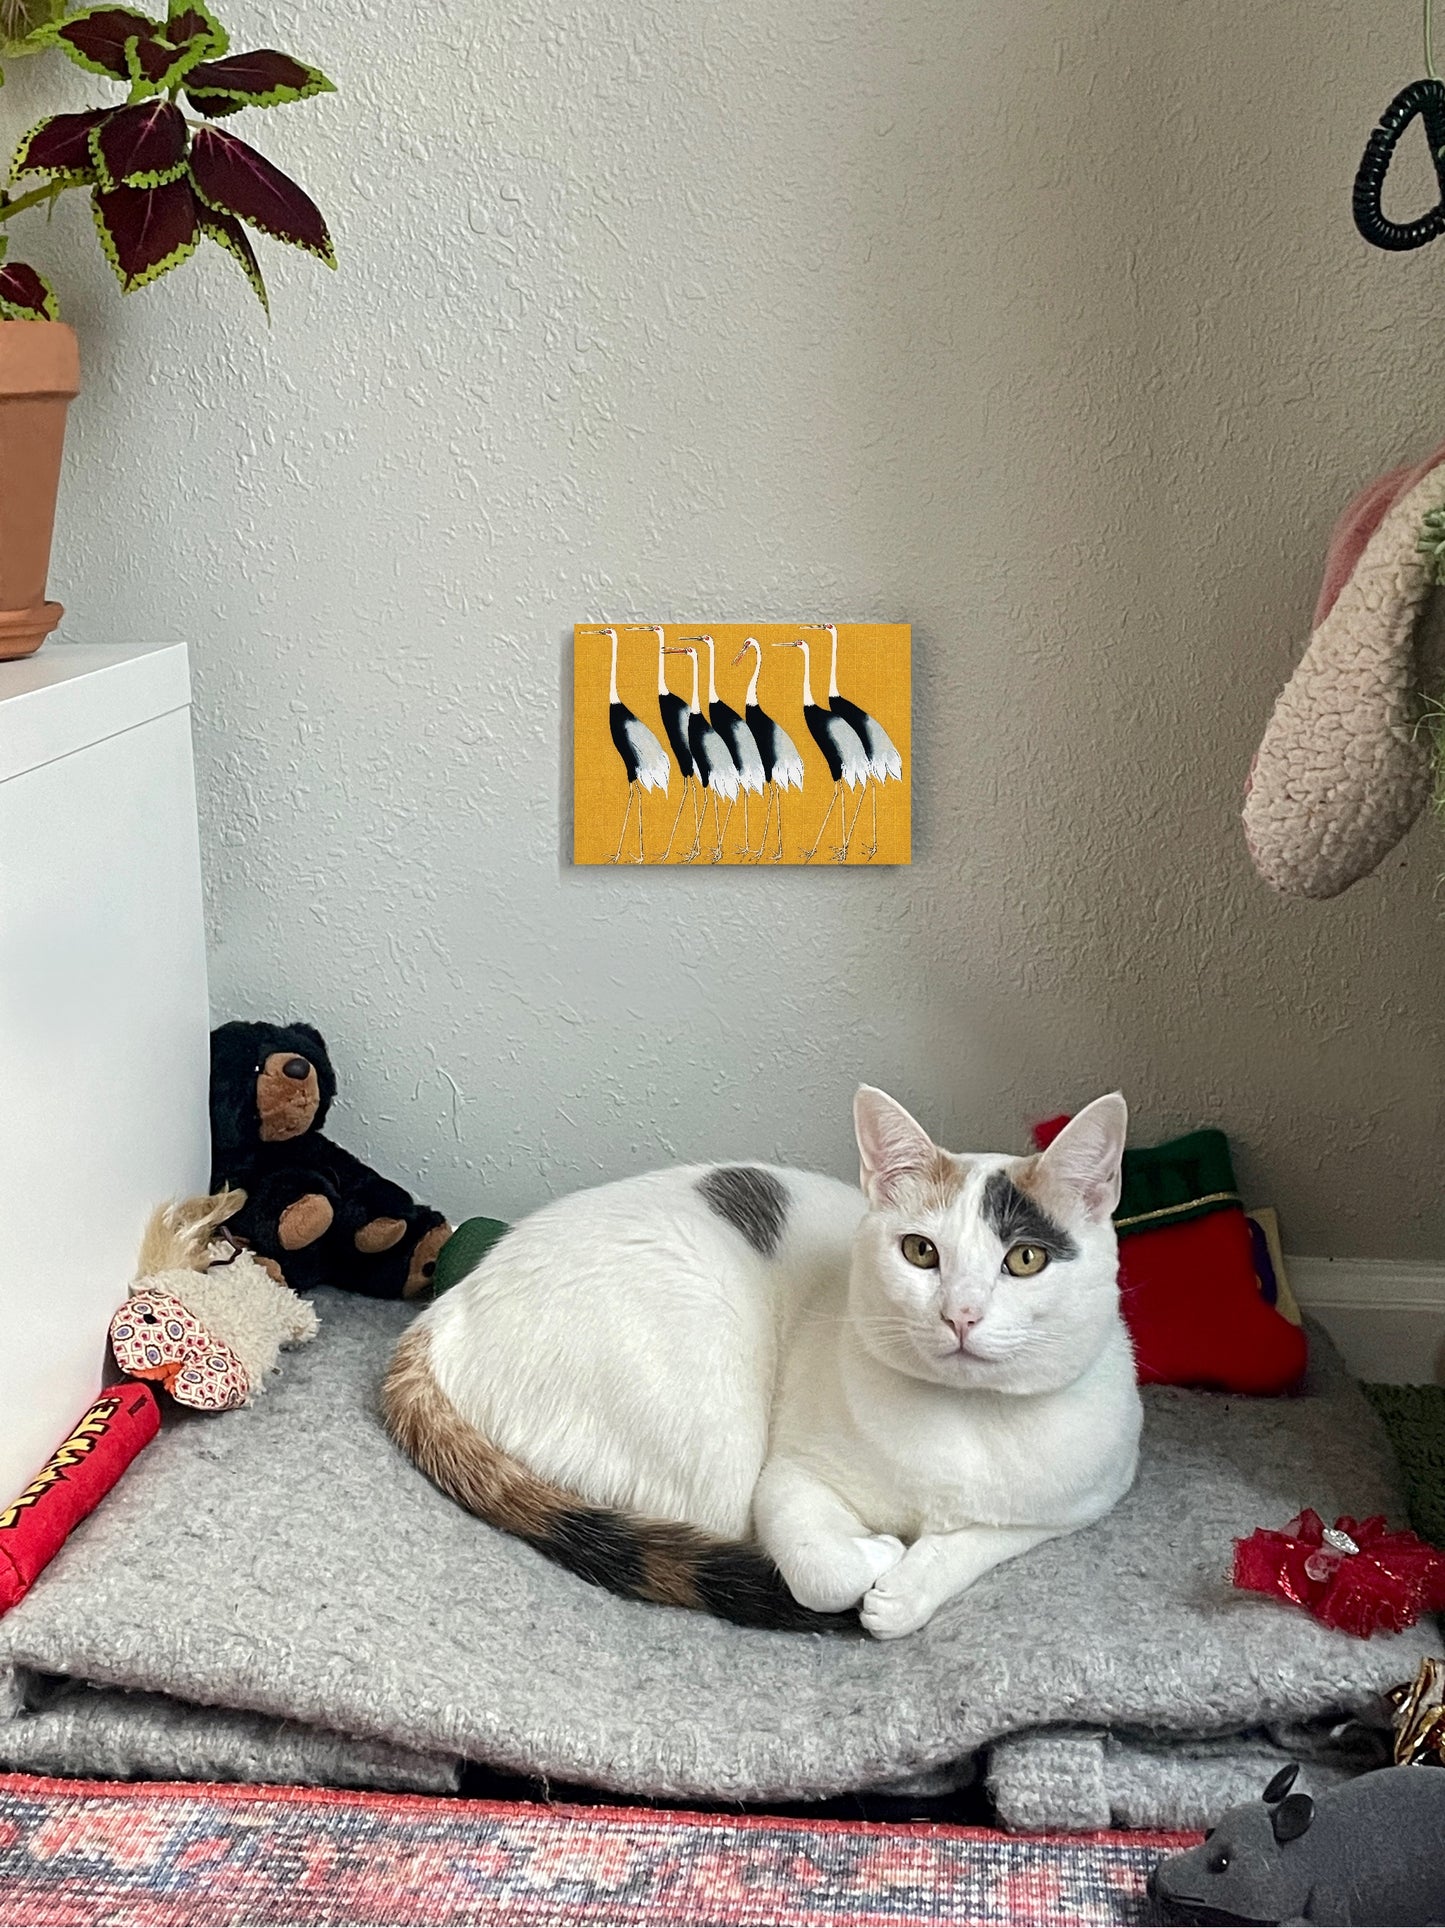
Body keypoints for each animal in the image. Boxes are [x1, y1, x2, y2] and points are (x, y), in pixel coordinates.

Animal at [380, 1095, 1142, 1634]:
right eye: (920, 1252)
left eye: (1025, 1259)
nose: (961, 1314)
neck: (960, 1421)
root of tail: (449, 1310)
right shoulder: (787, 1478)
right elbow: (818, 1569)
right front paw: (881, 1557)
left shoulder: (1094, 1493)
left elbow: (986, 1537)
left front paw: (905, 1592)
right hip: (710, 1422)